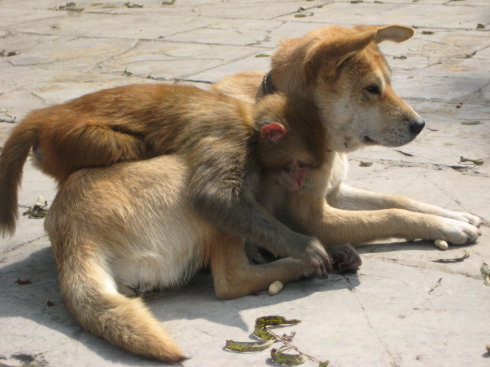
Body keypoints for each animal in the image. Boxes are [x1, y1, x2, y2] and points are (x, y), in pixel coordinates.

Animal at [213, 23, 482, 239]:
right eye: (371, 88)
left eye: (390, 84)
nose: (420, 124)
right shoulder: (314, 218)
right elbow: (391, 214)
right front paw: (447, 226)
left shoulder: (335, 191)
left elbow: (395, 199)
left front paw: (454, 215)